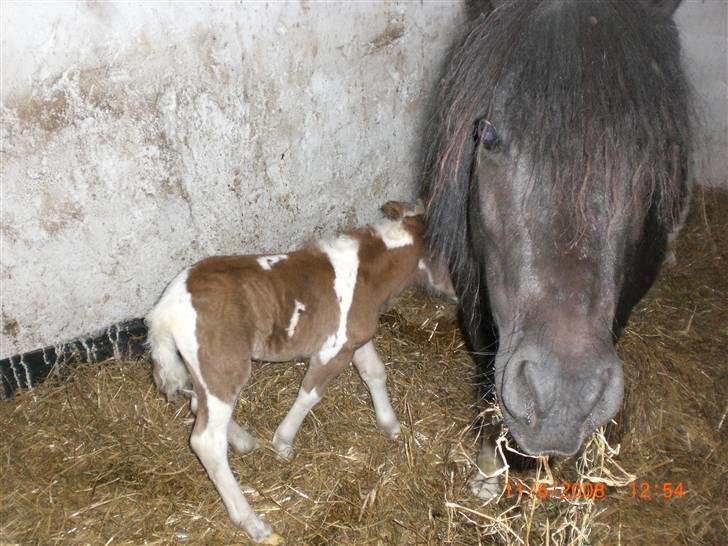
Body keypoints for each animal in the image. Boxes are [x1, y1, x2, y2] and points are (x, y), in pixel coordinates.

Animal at [146, 200, 456, 540]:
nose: (464, 295)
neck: (367, 276)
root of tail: (164, 311)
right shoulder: (332, 350)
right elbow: (309, 394)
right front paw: (283, 442)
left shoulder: (355, 340)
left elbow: (374, 372)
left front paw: (390, 425)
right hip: (223, 367)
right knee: (206, 441)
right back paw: (253, 523)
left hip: (203, 369)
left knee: (195, 403)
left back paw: (244, 442)